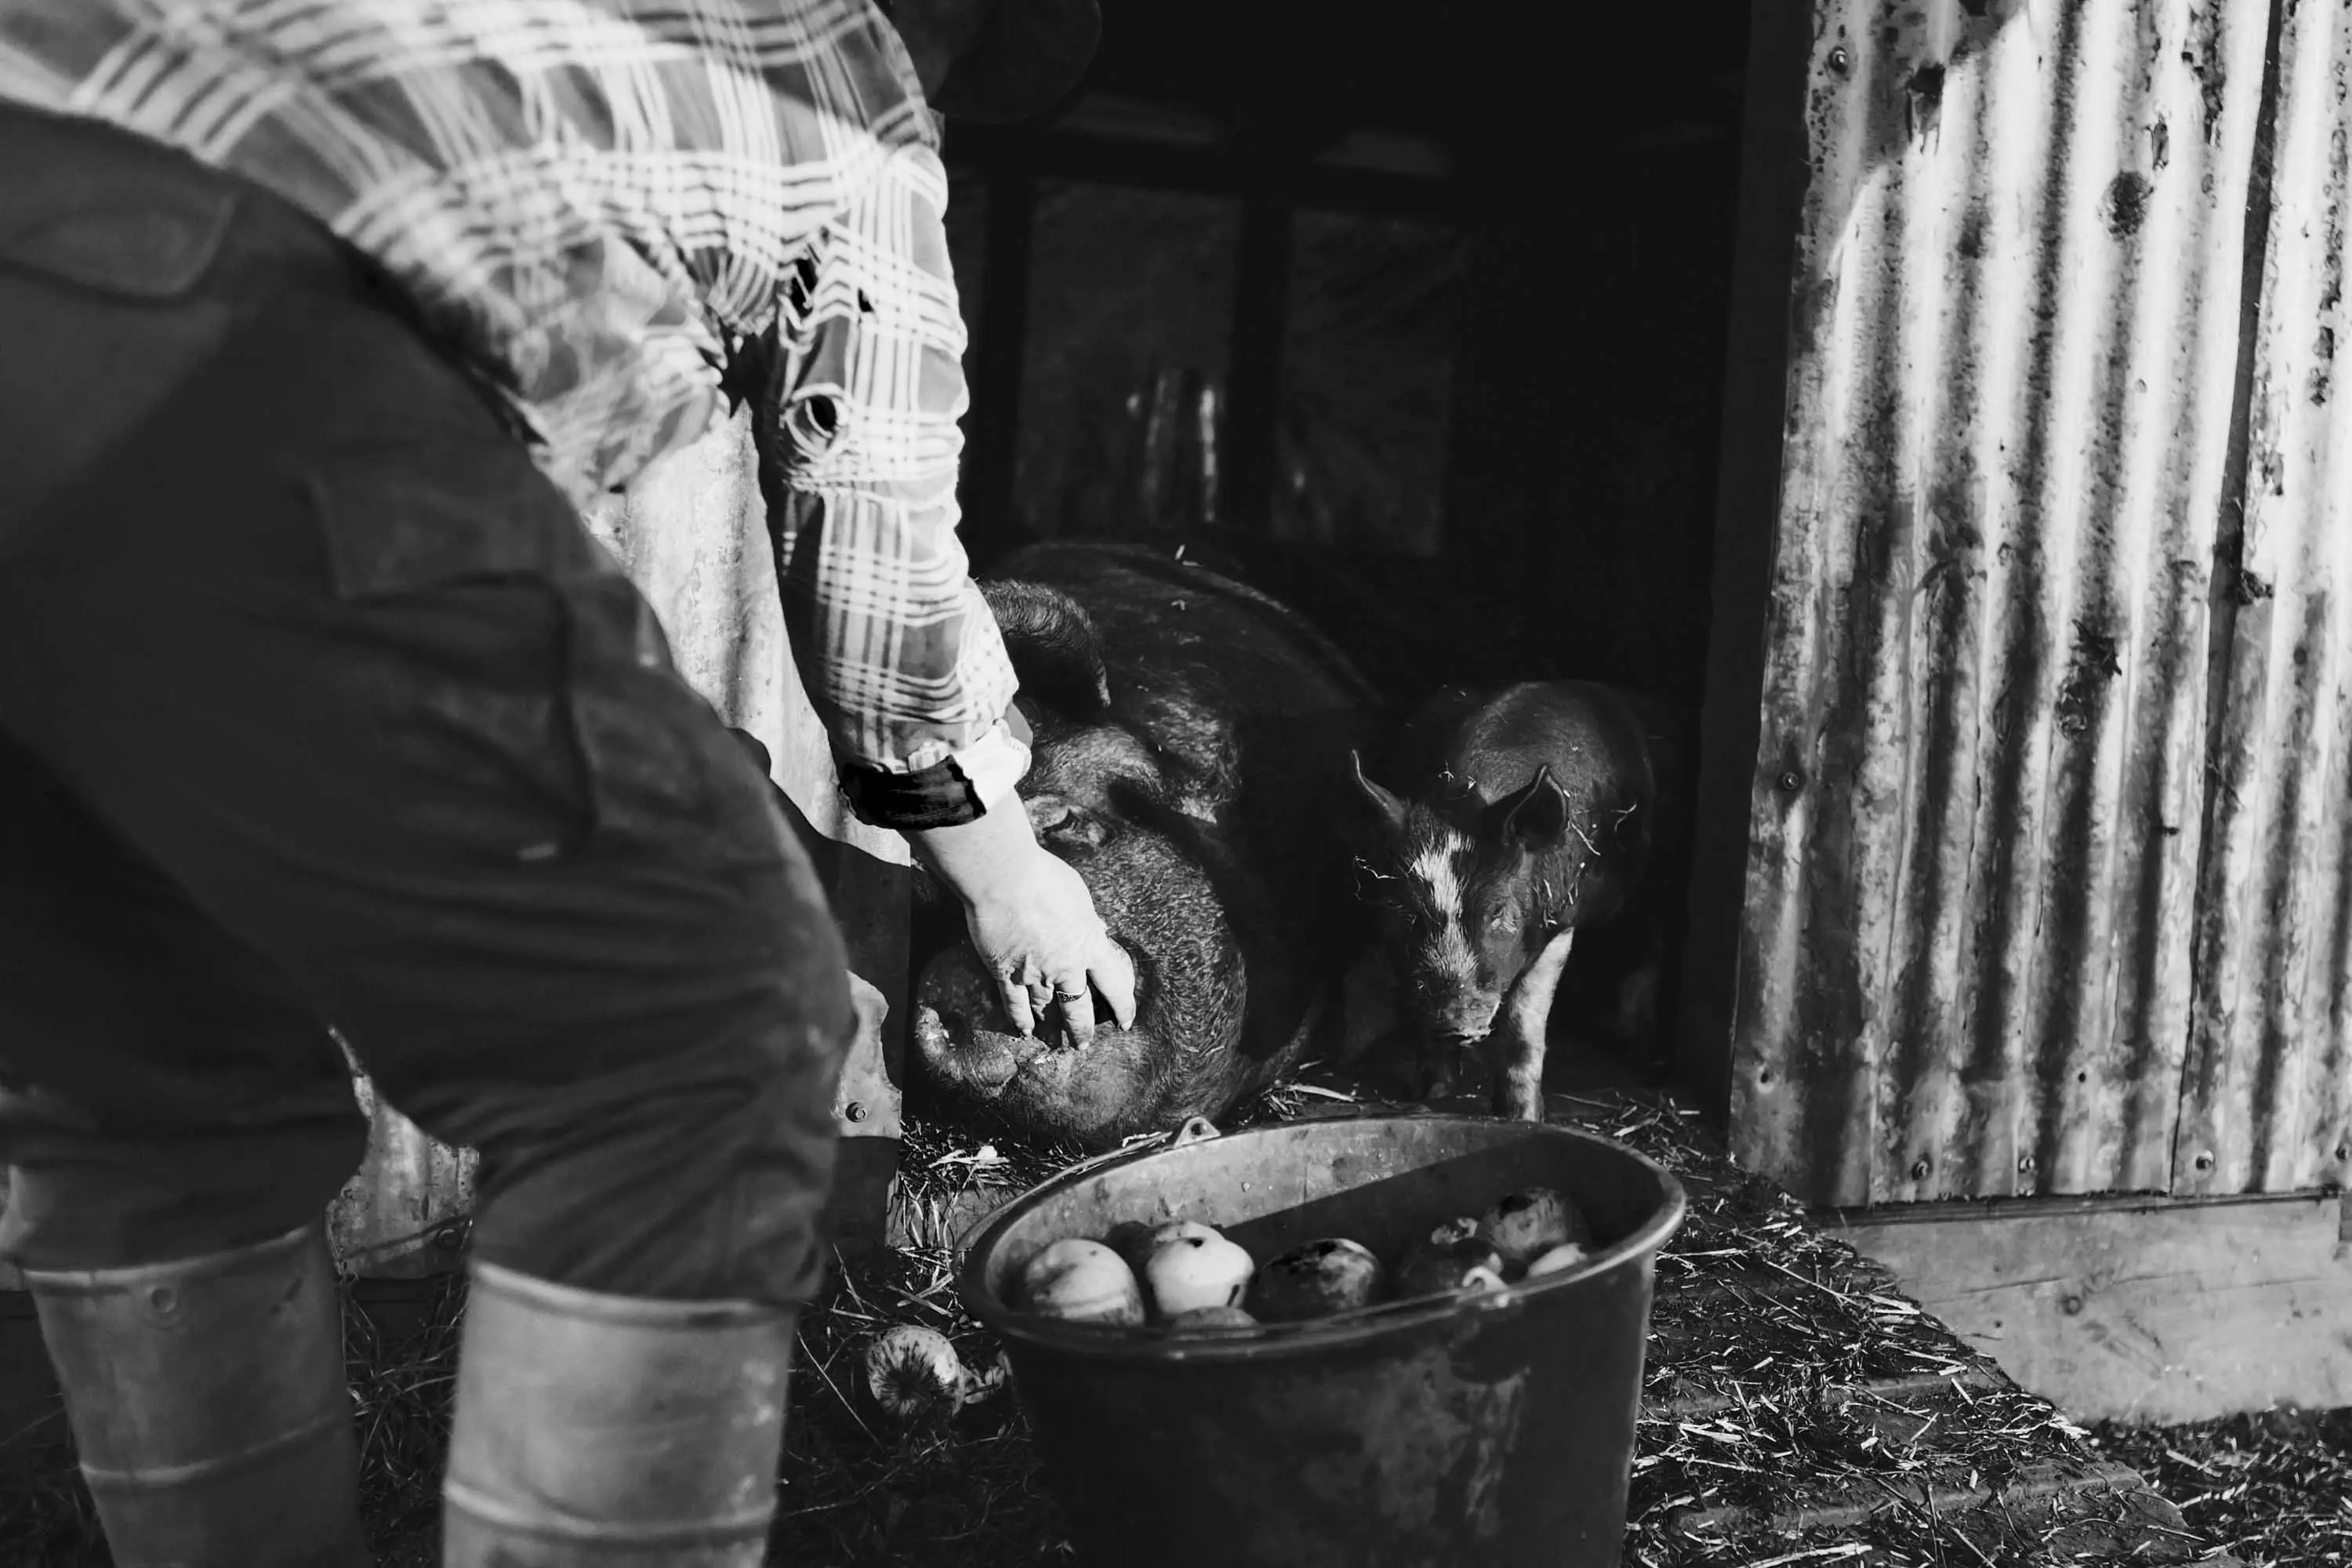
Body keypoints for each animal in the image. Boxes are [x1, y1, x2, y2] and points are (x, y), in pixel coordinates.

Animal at [1355, 681, 1665, 1123]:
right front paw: (1429, 1096)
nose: (1456, 1021)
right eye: (1408, 914)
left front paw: (1522, 1119)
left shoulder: (1559, 923)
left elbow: (1523, 1023)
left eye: (1499, 913)